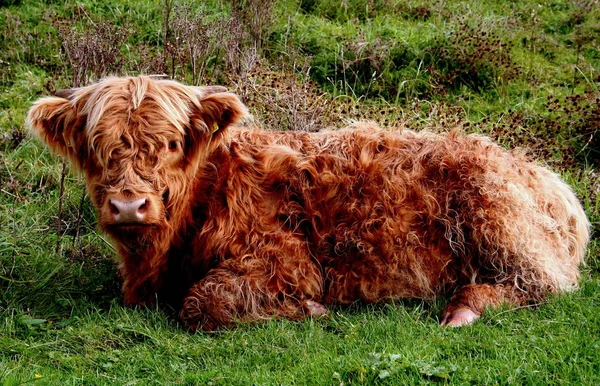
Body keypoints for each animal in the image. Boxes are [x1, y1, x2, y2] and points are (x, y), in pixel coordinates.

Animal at [25, 75, 588, 328]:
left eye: (169, 144)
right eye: (98, 146)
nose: (128, 205)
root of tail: (549, 178)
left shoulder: (284, 259)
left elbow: (203, 301)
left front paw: (311, 309)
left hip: (496, 219)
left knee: (546, 284)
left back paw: (464, 308)